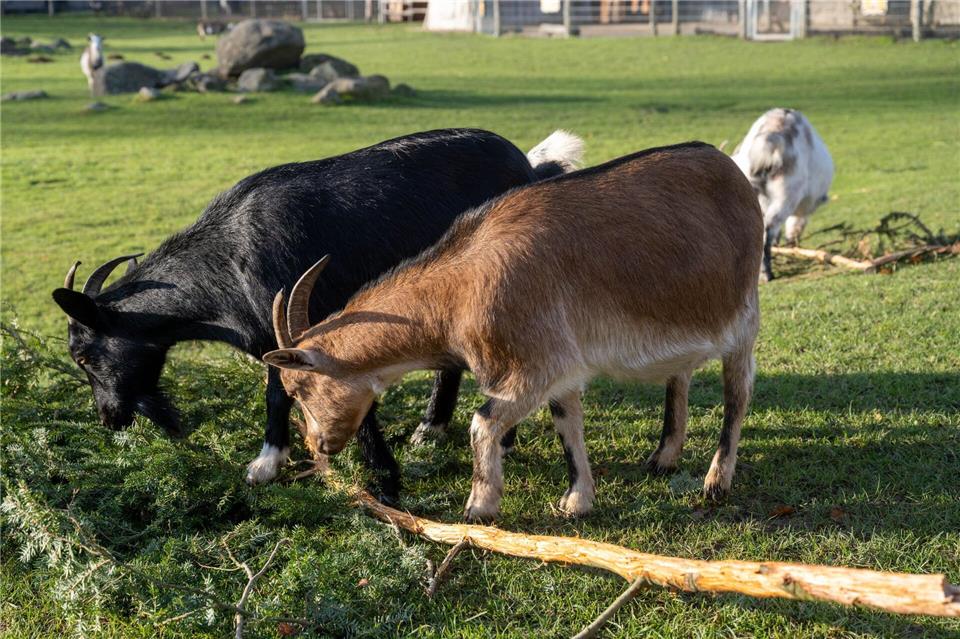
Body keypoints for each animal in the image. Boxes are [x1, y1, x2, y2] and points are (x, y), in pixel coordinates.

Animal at [51, 128, 584, 500]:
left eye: (84, 356)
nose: (109, 418)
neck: (228, 260)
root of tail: (530, 167)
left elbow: (307, 394)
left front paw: (381, 480)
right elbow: (279, 393)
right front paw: (271, 462)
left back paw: (499, 437)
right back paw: (431, 430)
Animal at [264, 142, 763, 522]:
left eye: (300, 386)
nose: (320, 444)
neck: (459, 289)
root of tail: (731, 171)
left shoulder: (534, 363)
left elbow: (482, 422)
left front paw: (479, 507)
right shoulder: (560, 365)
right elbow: (567, 424)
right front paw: (577, 501)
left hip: (743, 318)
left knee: (737, 394)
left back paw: (716, 481)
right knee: (680, 377)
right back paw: (664, 457)